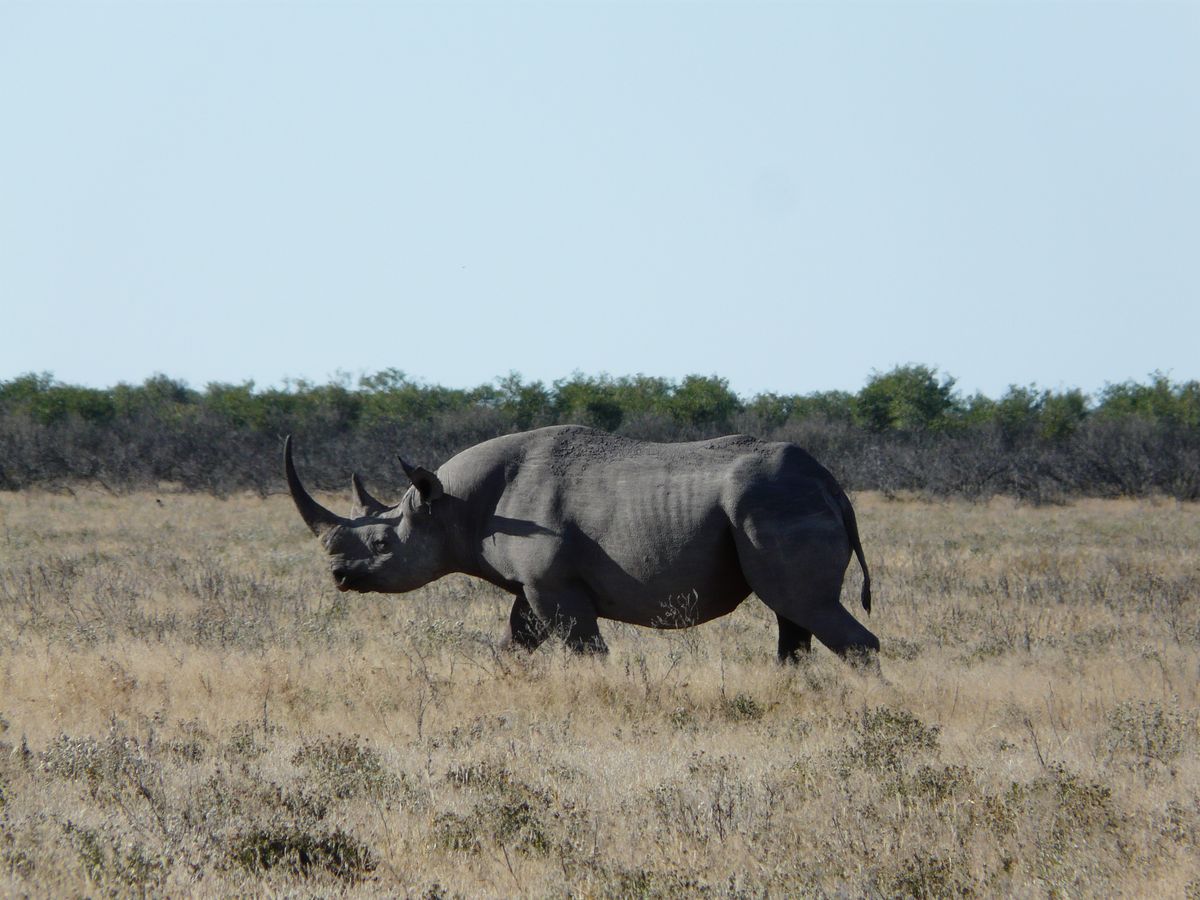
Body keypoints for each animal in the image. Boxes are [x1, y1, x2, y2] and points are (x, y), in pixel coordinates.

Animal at [285, 425, 879, 662]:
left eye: (381, 542)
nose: (338, 575)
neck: (450, 505)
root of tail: (831, 484)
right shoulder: (532, 584)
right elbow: (515, 643)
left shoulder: (555, 584)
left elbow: (585, 649)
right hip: (776, 505)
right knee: (793, 617)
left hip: (771, 505)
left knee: (806, 606)